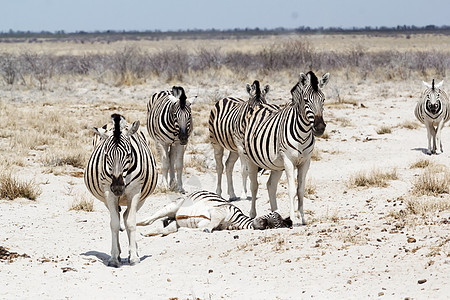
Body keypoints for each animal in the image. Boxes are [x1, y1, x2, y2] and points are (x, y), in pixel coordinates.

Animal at [85, 113, 158, 268]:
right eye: (106, 155)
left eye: (128, 154)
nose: (118, 188)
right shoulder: (108, 191)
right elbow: (114, 223)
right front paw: (114, 258)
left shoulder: (135, 191)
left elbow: (131, 223)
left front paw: (134, 257)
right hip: (106, 198)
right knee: (118, 217)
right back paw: (118, 252)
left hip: (141, 198)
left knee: (126, 216)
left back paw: (133, 250)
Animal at [137, 191, 292, 236]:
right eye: (269, 215)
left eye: (271, 227)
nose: (261, 223)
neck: (236, 221)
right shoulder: (218, 211)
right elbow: (212, 222)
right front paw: (207, 230)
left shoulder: (215, 224)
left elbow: (203, 227)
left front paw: (189, 230)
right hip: (175, 205)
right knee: (152, 218)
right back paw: (138, 224)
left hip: (175, 219)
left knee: (166, 229)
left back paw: (148, 233)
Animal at [244, 71, 328, 225]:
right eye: (306, 100)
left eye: (323, 99)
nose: (319, 128)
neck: (303, 133)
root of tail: (260, 104)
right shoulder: (288, 161)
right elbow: (292, 190)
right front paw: (293, 219)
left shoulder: (305, 161)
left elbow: (301, 190)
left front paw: (302, 218)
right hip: (250, 159)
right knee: (254, 185)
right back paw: (252, 214)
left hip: (277, 165)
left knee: (271, 185)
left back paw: (275, 213)